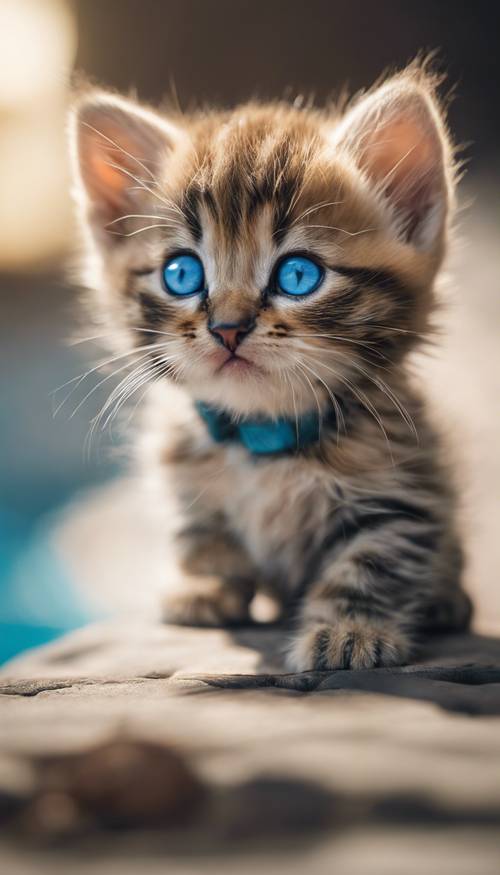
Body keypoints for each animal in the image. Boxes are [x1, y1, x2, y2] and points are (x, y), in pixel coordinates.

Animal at [70, 63, 472, 672]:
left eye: (298, 276)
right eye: (182, 274)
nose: (228, 328)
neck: (263, 438)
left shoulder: (402, 488)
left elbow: (374, 559)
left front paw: (350, 630)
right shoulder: (184, 469)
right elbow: (201, 533)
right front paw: (205, 586)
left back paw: (447, 600)